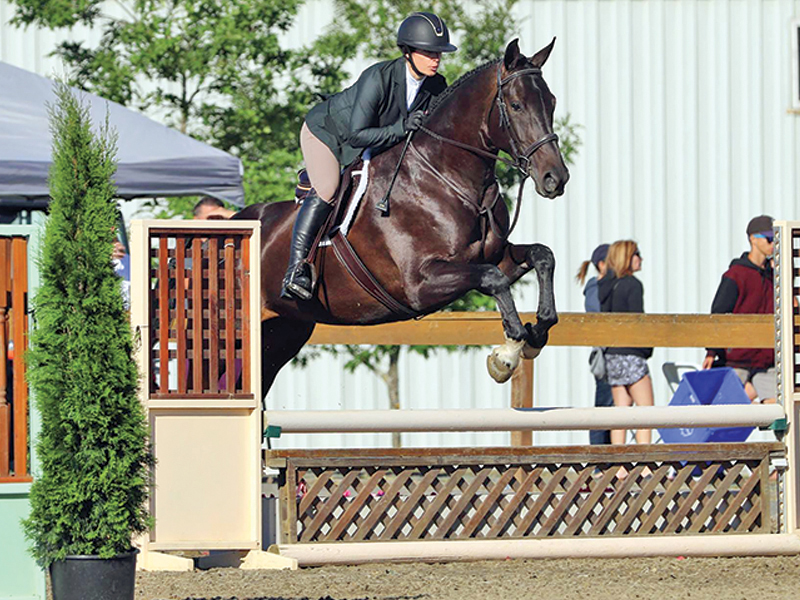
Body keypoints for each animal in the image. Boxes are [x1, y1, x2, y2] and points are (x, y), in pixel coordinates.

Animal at [235, 38, 570, 397]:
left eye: (552, 102)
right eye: (517, 105)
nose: (555, 178)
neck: (448, 178)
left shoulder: (489, 256)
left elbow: (541, 256)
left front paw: (537, 333)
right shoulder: (420, 284)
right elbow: (493, 279)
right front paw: (507, 353)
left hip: (282, 333)